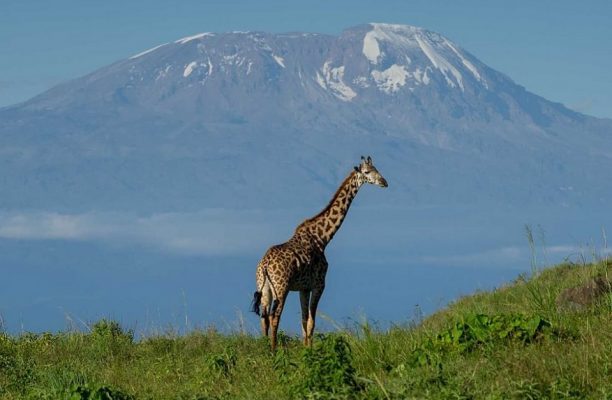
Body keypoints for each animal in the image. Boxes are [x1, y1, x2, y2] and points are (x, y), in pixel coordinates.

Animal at [250, 155, 388, 348]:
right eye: (367, 172)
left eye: (377, 168)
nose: (384, 182)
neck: (322, 238)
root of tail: (264, 265)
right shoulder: (319, 284)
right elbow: (311, 322)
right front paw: (310, 350)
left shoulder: (304, 288)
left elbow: (303, 320)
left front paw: (305, 347)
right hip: (281, 287)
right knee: (274, 317)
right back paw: (274, 349)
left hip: (264, 288)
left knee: (264, 319)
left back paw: (265, 348)